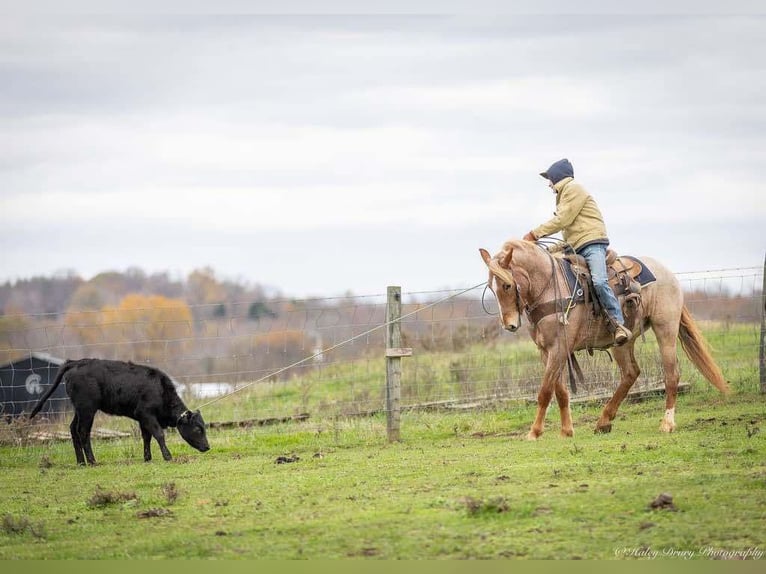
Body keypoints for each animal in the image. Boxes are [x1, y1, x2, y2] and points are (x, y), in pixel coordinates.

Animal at [480, 238, 732, 440]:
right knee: (630, 373)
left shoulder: (558, 348)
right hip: (623, 341)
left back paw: (667, 423)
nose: (509, 324)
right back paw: (603, 421)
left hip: (665, 330)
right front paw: (566, 431)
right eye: (491, 287)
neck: (550, 286)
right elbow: (559, 390)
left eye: (507, 285)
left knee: (671, 374)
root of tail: (667, 273)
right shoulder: (547, 350)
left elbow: (545, 391)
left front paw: (534, 432)